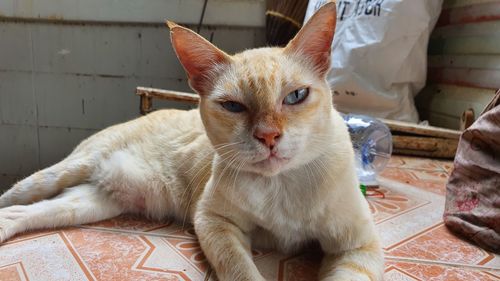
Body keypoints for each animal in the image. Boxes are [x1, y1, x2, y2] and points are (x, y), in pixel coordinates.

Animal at [0, 2, 382, 280]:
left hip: (93, 203)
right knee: (12, 198)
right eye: (233, 106)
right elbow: (243, 272)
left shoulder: (358, 245)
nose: (268, 136)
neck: (281, 186)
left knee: (22, 212)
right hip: (59, 176)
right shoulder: (214, 221)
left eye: (296, 96)